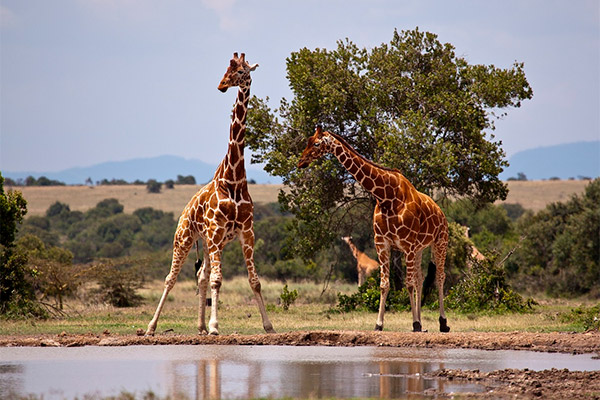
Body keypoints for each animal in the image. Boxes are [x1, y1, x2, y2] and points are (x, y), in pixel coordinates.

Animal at [146, 52, 276, 334]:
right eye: (227, 69)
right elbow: (218, 280)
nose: (221, 85)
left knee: (201, 275)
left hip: (209, 243)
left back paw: (200, 326)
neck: (234, 179)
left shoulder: (246, 233)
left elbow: (254, 280)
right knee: (171, 278)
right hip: (185, 238)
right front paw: (216, 325)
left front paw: (268, 325)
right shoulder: (217, 233)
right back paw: (151, 326)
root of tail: (185, 210)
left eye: (241, 70)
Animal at [298, 127, 448, 332]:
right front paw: (379, 324)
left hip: (440, 242)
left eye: (316, 143)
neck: (386, 196)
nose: (301, 162)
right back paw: (423, 322)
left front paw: (415, 324)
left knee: (440, 277)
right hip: (419, 249)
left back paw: (443, 323)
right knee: (420, 277)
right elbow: (385, 284)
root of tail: (441, 212)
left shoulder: (407, 244)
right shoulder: (382, 243)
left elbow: (408, 284)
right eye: (307, 141)